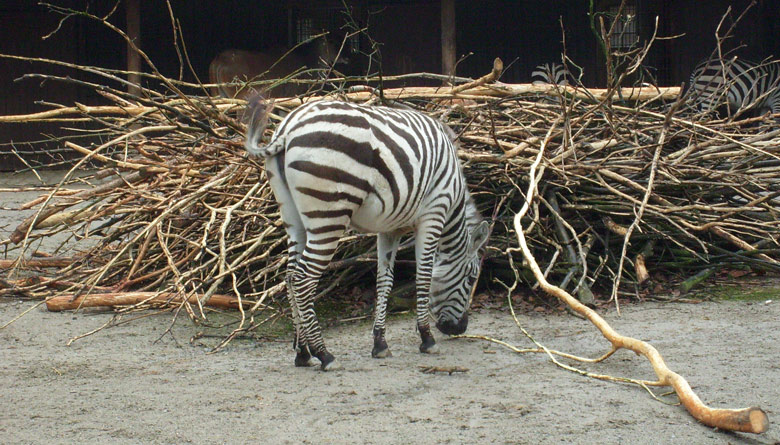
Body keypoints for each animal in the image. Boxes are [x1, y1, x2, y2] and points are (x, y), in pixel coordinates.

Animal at [244, 99, 488, 370]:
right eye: (471, 279)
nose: (460, 329)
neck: (454, 195)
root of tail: (289, 125)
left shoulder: (390, 228)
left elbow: (385, 281)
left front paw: (380, 343)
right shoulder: (434, 213)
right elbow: (424, 275)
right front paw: (426, 338)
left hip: (292, 216)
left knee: (289, 276)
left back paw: (303, 353)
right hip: (329, 214)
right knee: (303, 279)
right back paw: (324, 353)